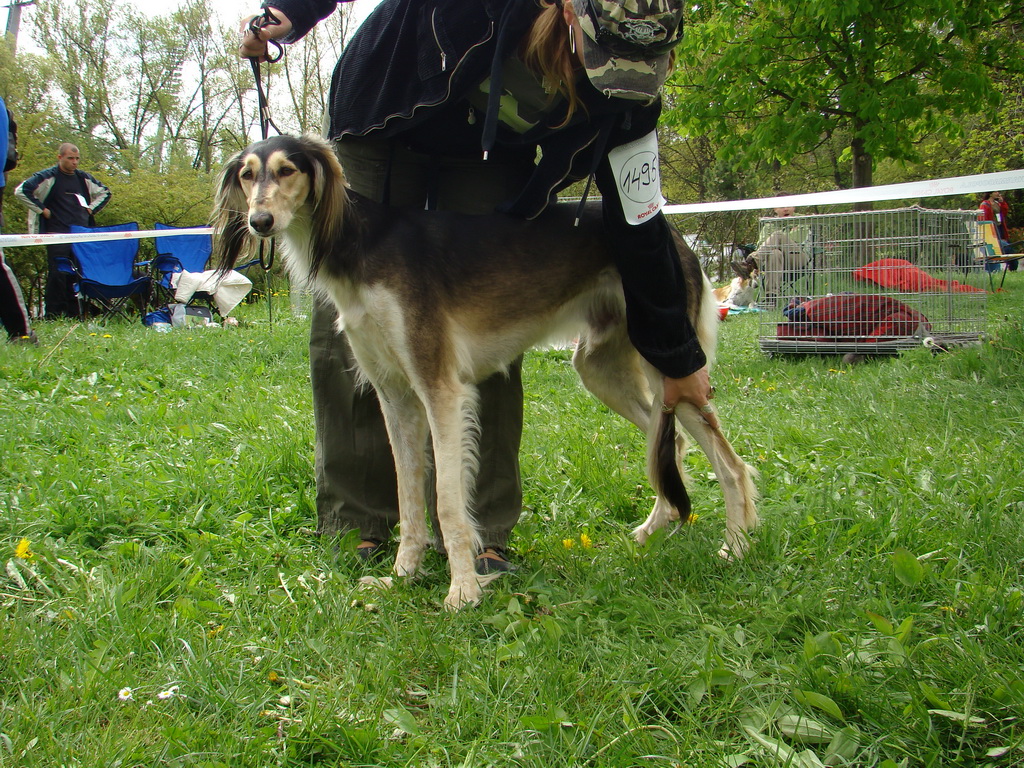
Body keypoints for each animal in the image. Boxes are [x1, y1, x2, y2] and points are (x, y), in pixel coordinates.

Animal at [211, 135, 757, 610]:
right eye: (247, 174)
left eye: (287, 170)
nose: (260, 221)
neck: (360, 242)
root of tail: (672, 235)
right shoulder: (395, 394)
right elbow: (408, 498)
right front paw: (402, 576)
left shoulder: (440, 388)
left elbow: (448, 503)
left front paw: (463, 591)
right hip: (600, 369)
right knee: (673, 441)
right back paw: (654, 528)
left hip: (668, 362)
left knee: (729, 462)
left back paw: (736, 547)